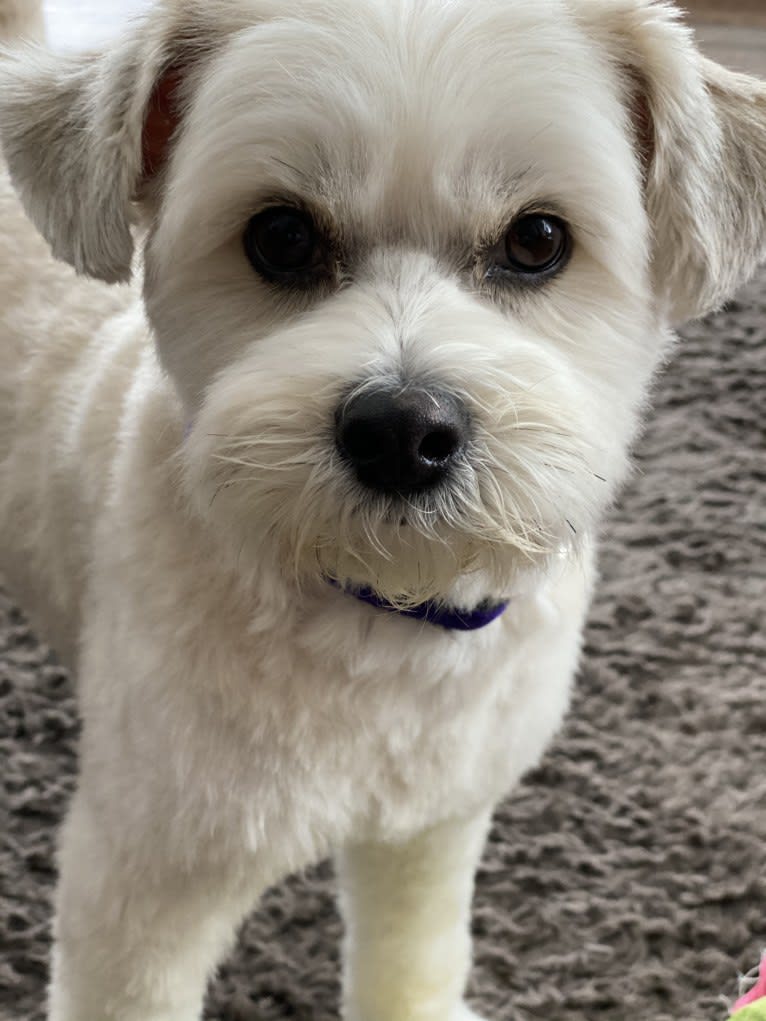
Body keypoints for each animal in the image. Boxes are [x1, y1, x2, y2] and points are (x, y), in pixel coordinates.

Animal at [0, 0, 763, 1016]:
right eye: (281, 237)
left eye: (537, 240)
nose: (403, 431)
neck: (379, 620)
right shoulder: (141, 884)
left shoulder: (432, 825)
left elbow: (412, 955)